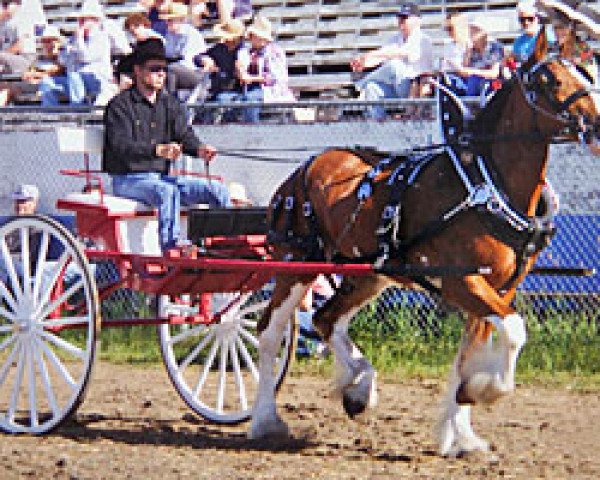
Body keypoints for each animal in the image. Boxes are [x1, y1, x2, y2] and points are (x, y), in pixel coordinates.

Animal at [250, 28, 600, 456]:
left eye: (585, 72)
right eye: (549, 80)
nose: (597, 124)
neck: (487, 183)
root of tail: (303, 168)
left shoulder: (499, 286)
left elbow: (469, 355)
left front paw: (459, 433)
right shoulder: (462, 281)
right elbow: (514, 331)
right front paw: (483, 392)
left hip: (369, 273)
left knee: (326, 319)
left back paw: (358, 387)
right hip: (296, 264)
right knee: (269, 332)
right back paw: (266, 420)